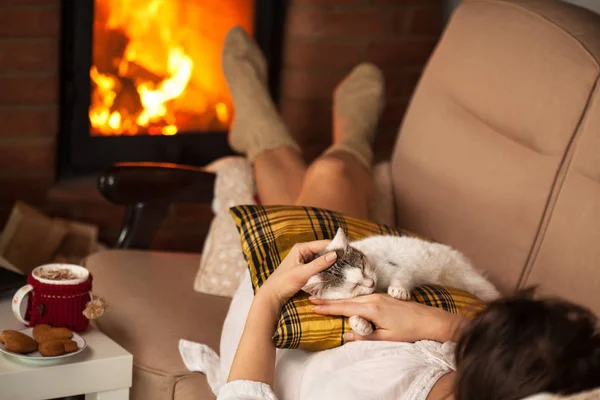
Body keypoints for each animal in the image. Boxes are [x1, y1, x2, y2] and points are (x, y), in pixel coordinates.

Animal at [302, 230, 500, 336]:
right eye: (354, 286)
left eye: (364, 267)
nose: (371, 283)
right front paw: (360, 323)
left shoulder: (396, 268)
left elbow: (402, 275)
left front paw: (398, 290)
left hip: (471, 279)